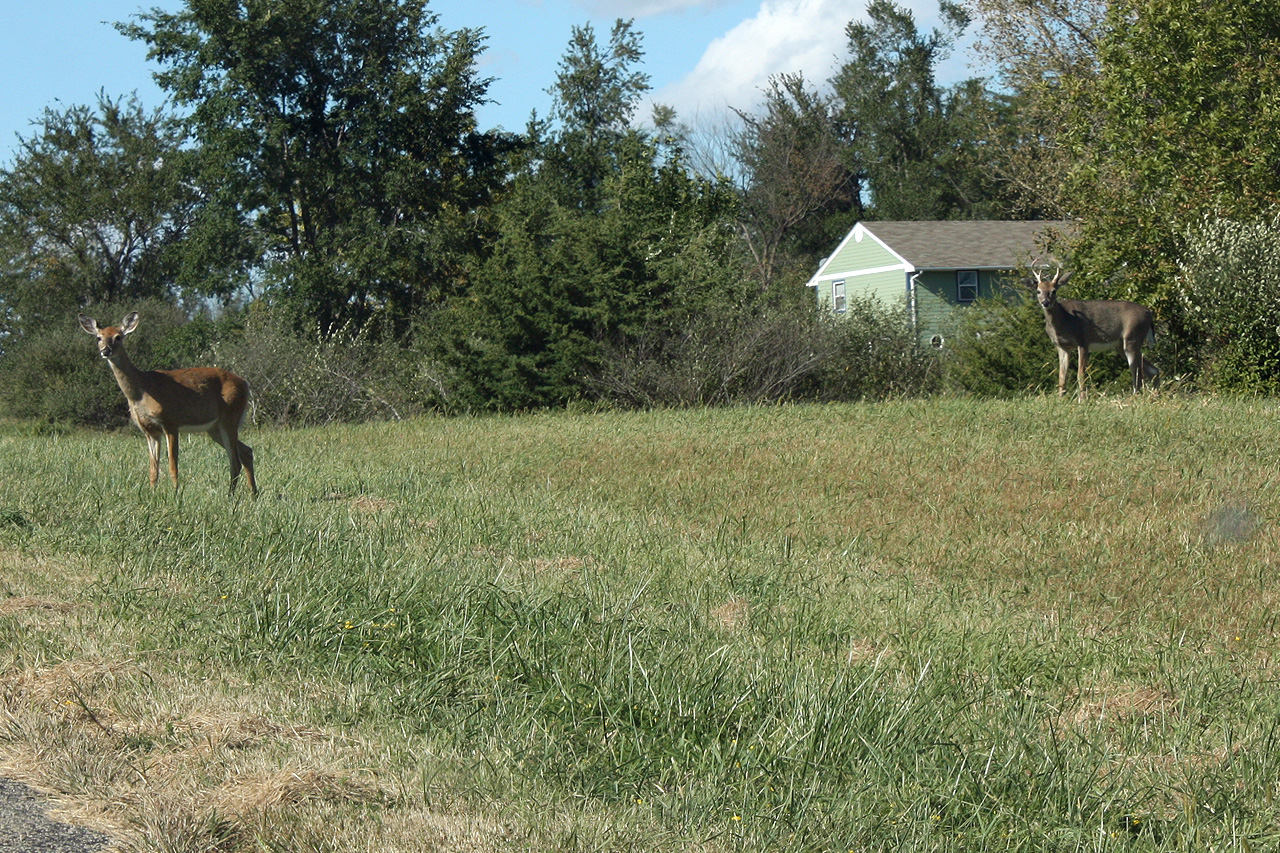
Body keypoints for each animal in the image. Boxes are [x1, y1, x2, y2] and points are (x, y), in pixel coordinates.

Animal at [79, 312, 258, 497]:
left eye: (118, 337)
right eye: (99, 337)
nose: (105, 351)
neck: (141, 391)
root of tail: (245, 383)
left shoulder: (170, 421)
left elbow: (173, 465)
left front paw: (176, 494)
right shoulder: (149, 430)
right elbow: (153, 469)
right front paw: (152, 493)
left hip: (230, 416)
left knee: (235, 460)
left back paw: (231, 496)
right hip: (214, 428)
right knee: (246, 451)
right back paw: (253, 494)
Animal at [1033, 264, 1160, 401]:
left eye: (1054, 291)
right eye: (1038, 291)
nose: (1045, 302)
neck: (1065, 319)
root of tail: (1149, 312)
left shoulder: (1083, 341)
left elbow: (1080, 374)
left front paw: (1082, 399)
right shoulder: (1062, 346)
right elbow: (1062, 376)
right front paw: (1061, 399)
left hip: (1133, 336)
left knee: (1137, 371)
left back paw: (1135, 397)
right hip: (1121, 345)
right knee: (1152, 370)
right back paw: (1155, 396)